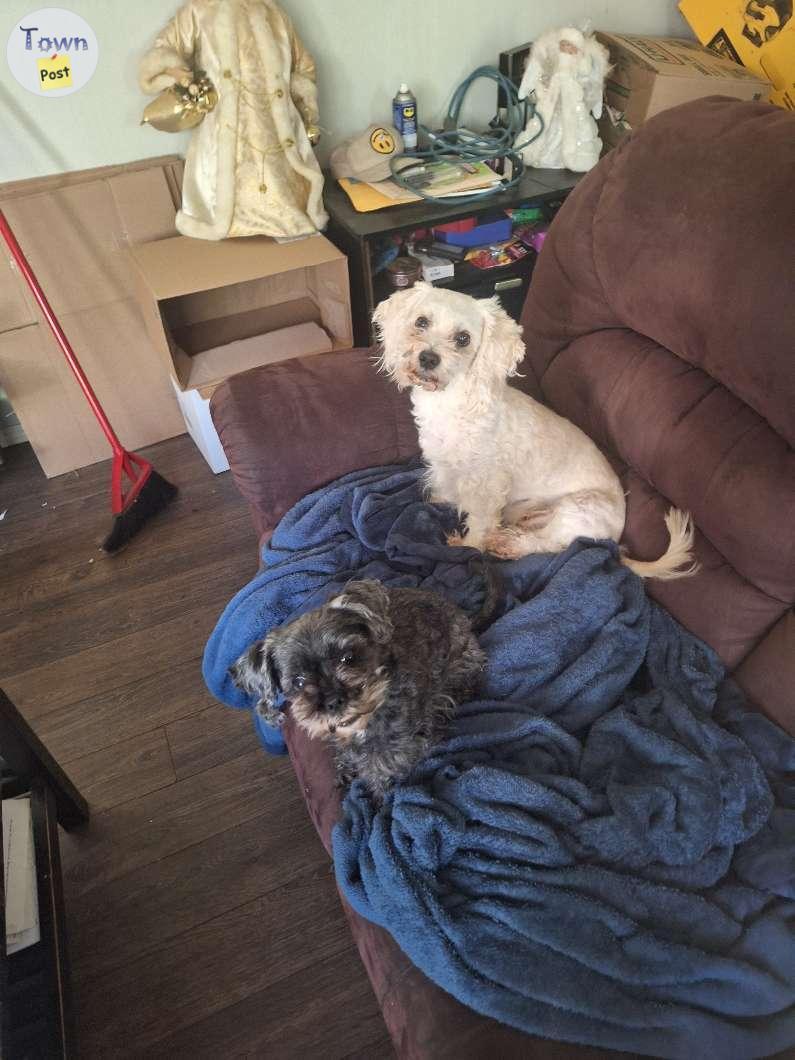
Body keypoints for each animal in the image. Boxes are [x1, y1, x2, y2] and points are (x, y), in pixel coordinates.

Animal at [226, 580, 496, 797]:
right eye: (298, 682)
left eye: (348, 657)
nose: (334, 701)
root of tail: (464, 617)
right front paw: (345, 769)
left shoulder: (395, 750)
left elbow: (381, 774)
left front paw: (379, 800)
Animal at [373, 281, 695, 580]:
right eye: (421, 322)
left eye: (463, 339)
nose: (428, 358)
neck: (452, 401)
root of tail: (615, 543)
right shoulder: (443, 466)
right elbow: (442, 490)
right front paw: (437, 502)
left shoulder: (485, 487)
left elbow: (479, 523)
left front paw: (467, 547)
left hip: (577, 509)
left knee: (552, 546)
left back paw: (508, 544)